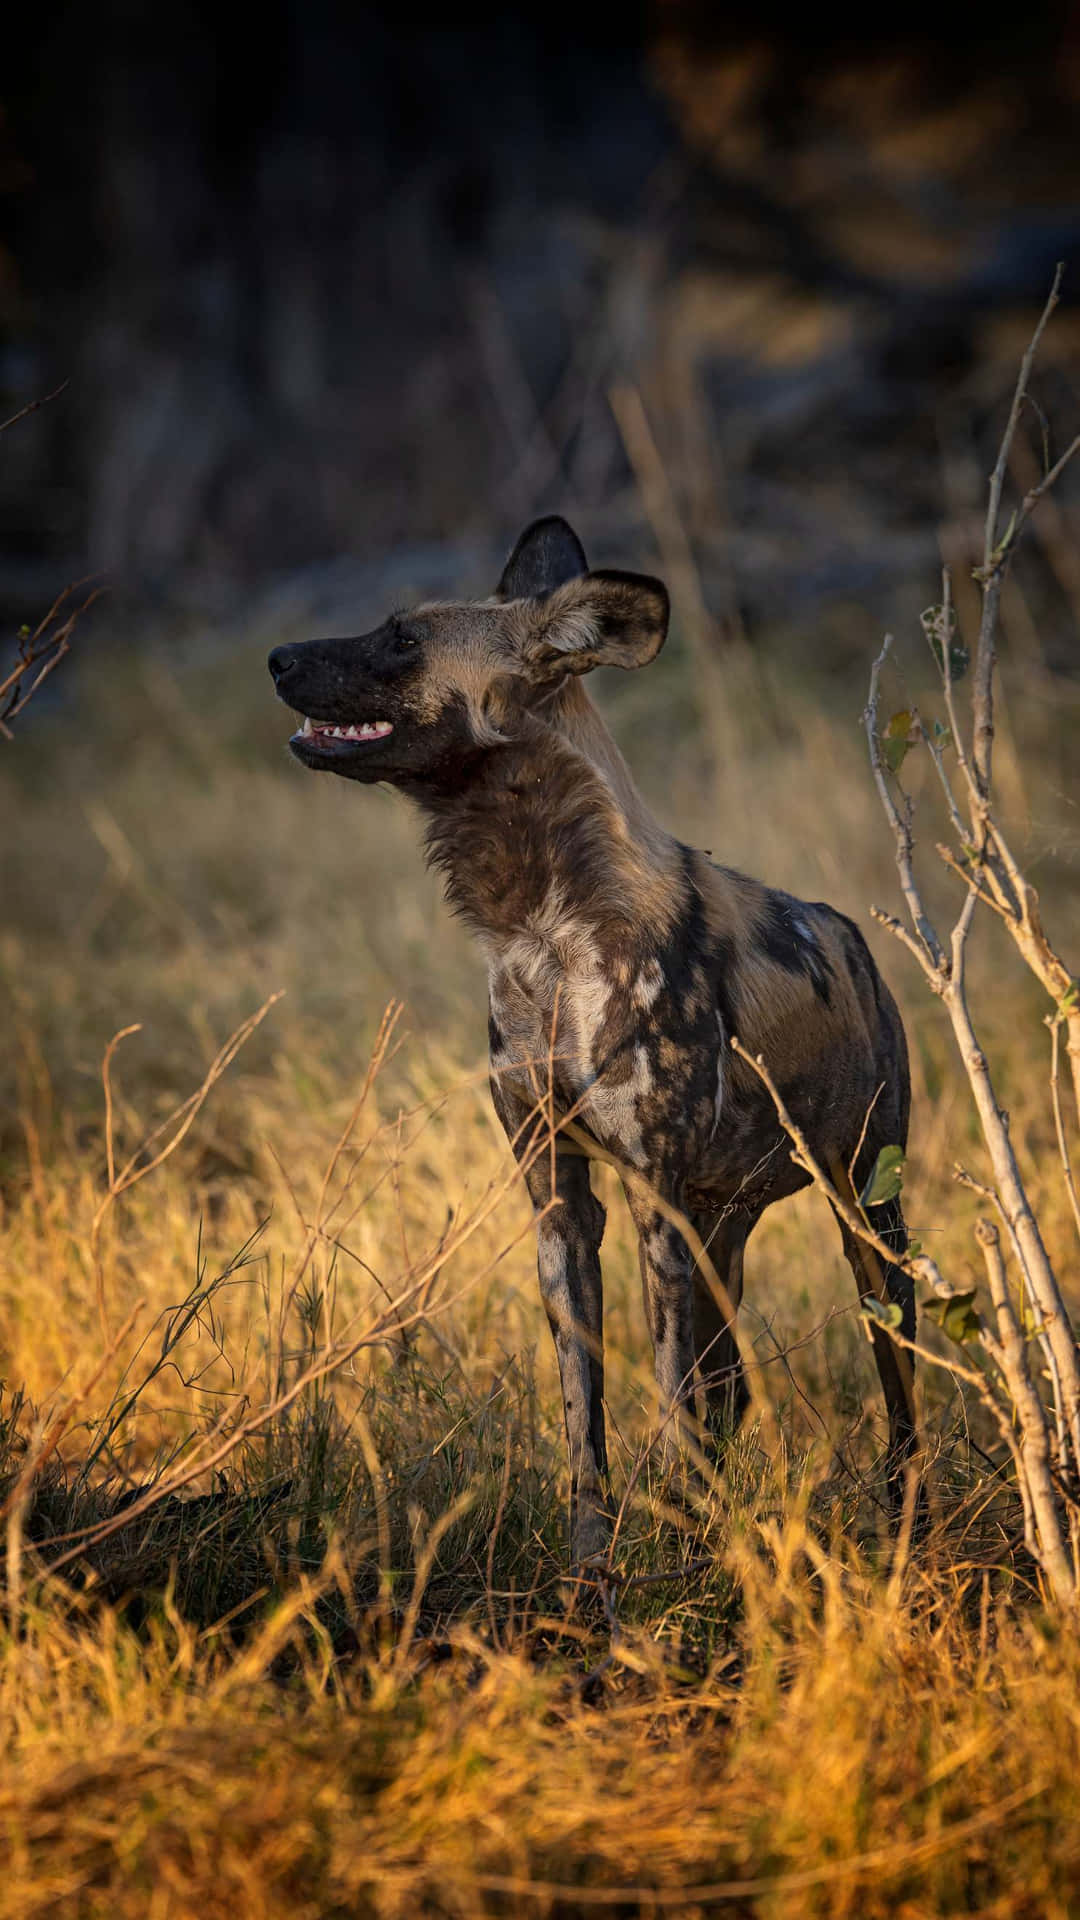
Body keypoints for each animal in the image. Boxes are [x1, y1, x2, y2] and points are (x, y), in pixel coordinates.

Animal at [267, 518, 907, 1566]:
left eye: (403, 638)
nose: (277, 656)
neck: (544, 935)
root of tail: (854, 939)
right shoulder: (563, 1206)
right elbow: (587, 1425)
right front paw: (593, 1574)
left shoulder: (656, 1209)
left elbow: (674, 1410)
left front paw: (688, 1561)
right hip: (724, 1237)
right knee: (729, 1392)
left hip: (867, 1222)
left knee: (895, 1397)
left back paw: (906, 1521)